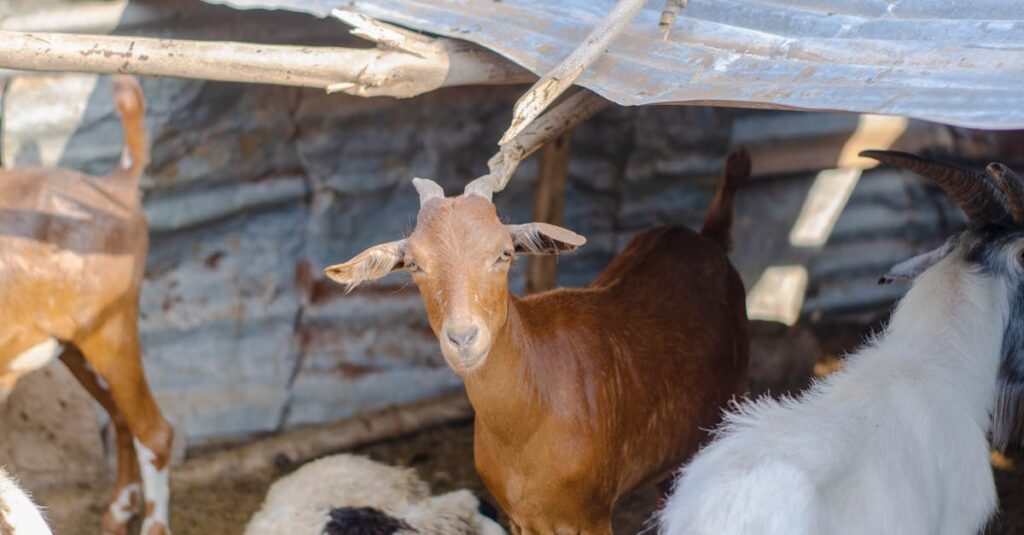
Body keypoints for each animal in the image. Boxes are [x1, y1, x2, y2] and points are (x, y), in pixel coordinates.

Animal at [0, 76, 173, 535]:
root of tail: (114, 187)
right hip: (76, 345)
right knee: (121, 417)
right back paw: (118, 511)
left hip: (110, 329)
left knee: (154, 430)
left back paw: (151, 524)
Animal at [324, 150, 752, 534]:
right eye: (413, 264)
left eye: (505, 253)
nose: (463, 338)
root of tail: (709, 239)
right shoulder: (520, 519)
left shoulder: (592, 515)